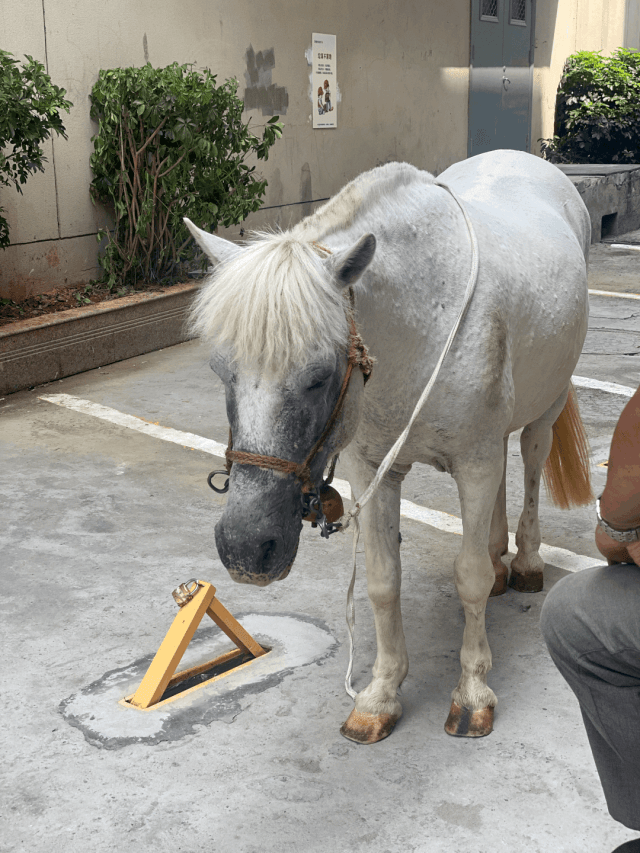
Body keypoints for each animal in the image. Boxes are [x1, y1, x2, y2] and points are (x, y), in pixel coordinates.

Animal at [184, 150, 592, 744]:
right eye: (219, 371)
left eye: (319, 375)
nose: (246, 548)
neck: (424, 322)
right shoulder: (372, 468)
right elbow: (382, 581)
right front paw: (380, 694)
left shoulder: (474, 464)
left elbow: (469, 577)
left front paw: (473, 693)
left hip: (546, 409)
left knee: (531, 463)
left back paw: (526, 562)